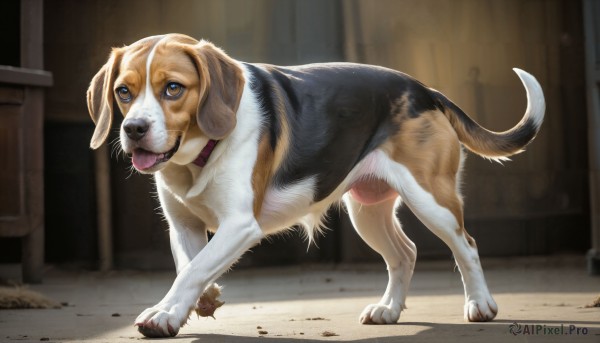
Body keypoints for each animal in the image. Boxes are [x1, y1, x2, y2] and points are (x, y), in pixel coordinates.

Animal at [88, 33, 544, 338]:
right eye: (123, 92)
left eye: (173, 88)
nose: (134, 129)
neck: (198, 157)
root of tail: (424, 90)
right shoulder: (183, 225)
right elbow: (191, 267)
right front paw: (202, 300)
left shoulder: (240, 225)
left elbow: (194, 270)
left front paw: (164, 314)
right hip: (367, 212)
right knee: (405, 253)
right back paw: (388, 309)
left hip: (431, 199)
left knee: (467, 246)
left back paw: (480, 304)